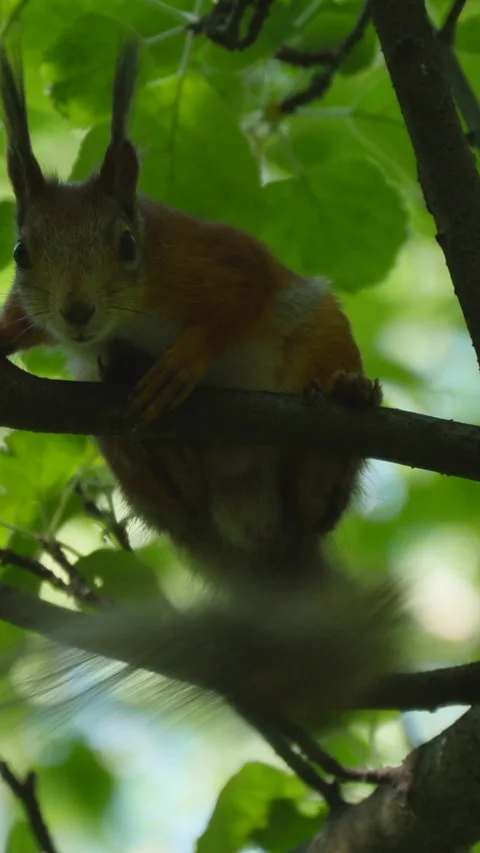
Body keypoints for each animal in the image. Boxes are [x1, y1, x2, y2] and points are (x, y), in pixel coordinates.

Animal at [0, 42, 400, 737]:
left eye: (126, 245)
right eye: (21, 253)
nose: (76, 314)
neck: (131, 313)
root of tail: (255, 528)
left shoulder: (213, 258)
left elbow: (236, 301)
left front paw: (182, 361)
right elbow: (12, 320)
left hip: (318, 339)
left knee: (313, 501)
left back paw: (340, 416)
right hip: (121, 449)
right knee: (181, 494)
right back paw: (144, 413)